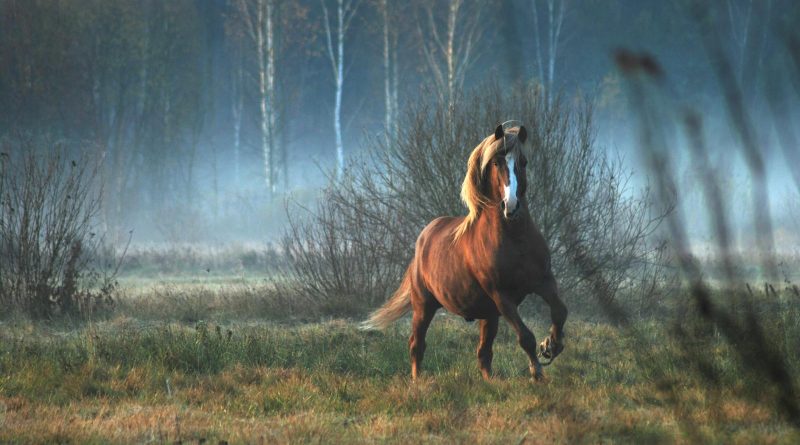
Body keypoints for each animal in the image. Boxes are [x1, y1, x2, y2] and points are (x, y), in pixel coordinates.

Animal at [362, 123, 568, 380]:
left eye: (524, 162)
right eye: (496, 162)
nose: (511, 206)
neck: (515, 239)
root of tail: (423, 238)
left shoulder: (543, 281)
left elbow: (560, 312)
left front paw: (551, 346)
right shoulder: (502, 296)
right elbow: (525, 337)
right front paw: (537, 372)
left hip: (488, 315)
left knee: (483, 353)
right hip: (424, 305)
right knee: (417, 344)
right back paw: (418, 381)